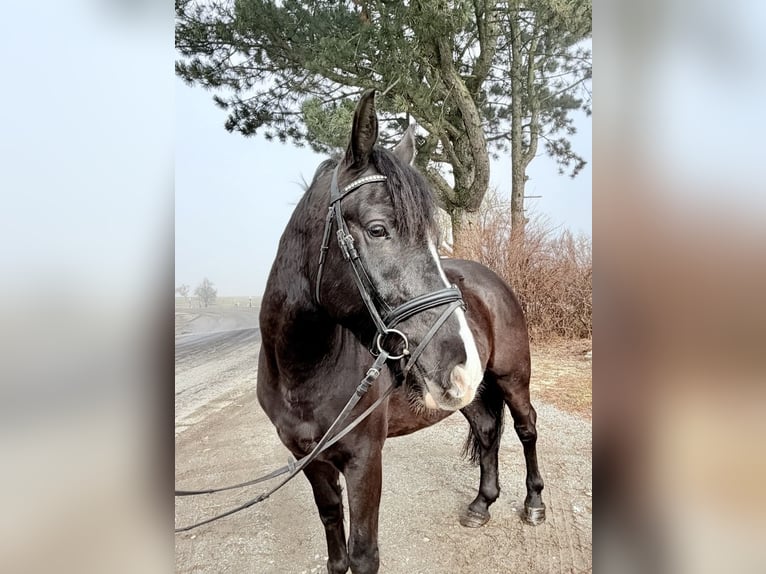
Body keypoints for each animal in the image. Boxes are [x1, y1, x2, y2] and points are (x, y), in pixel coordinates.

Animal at [257, 90, 545, 574]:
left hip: (510, 378)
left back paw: (535, 503)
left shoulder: (364, 460)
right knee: (488, 430)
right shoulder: (309, 461)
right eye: (378, 230)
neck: (302, 371)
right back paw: (481, 505)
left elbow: (363, 555)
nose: (462, 362)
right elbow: (334, 537)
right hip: (468, 394)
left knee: (526, 429)